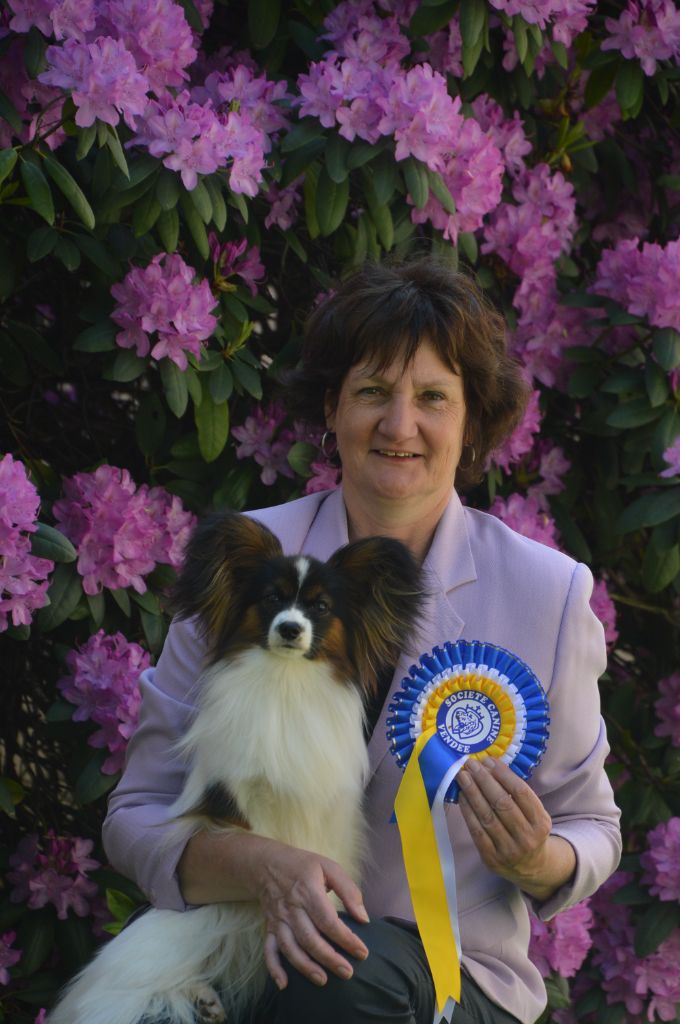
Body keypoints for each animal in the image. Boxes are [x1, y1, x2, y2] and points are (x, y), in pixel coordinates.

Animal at [50, 512, 426, 1024]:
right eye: (271, 599)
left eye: (321, 607)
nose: (290, 629)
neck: (286, 679)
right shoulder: (242, 803)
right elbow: (271, 853)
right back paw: (195, 997)